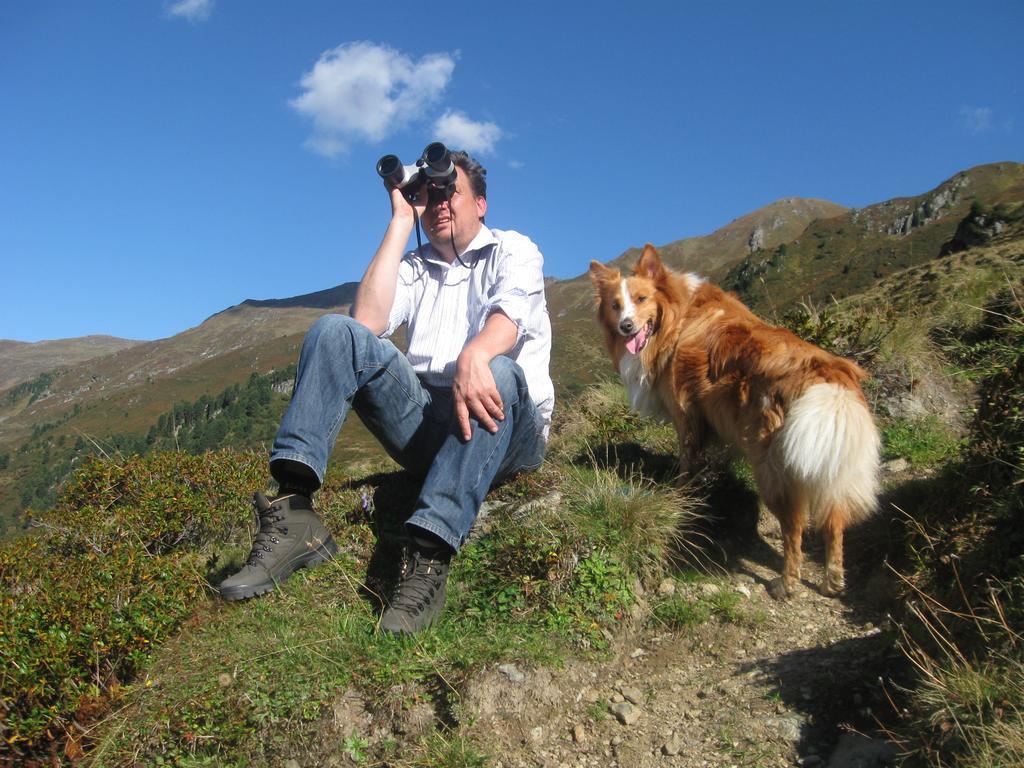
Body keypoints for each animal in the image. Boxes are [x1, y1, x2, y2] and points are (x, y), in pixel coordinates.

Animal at [593, 243, 880, 598]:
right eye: (616, 305)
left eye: (642, 298)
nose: (626, 327)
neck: (677, 315)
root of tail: (826, 374)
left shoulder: (687, 415)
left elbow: (687, 465)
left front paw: (682, 497)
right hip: (829, 462)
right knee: (834, 520)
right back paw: (832, 580)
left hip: (771, 467)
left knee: (795, 527)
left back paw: (786, 583)